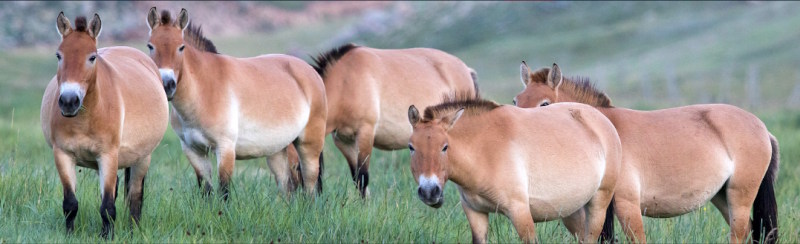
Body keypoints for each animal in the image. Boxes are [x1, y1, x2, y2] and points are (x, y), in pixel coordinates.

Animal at [40, 12, 169, 238]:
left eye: (92, 57)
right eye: (58, 56)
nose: (69, 101)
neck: (86, 117)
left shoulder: (108, 156)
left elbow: (108, 206)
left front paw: (107, 236)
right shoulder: (63, 155)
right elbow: (70, 204)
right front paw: (70, 235)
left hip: (142, 158)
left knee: (135, 196)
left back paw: (134, 230)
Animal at [145, 8, 326, 198]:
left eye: (181, 47)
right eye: (150, 46)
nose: (167, 84)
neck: (204, 90)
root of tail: (310, 71)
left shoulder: (225, 149)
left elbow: (224, 192)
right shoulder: (194, 151)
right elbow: (206, 190)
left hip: (309, 147)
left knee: (310, 186)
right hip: (277, 151)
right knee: (288, 188)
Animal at [310, 43, 476, 196]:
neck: (346, 81)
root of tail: (467, 70)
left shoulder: (365, 134)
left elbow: (363, 177)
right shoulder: (343, 141)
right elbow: (356, 178)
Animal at [410, 94, 620, 243]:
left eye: (444, 147)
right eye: (411, 147)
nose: (429, 191)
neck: (484, 149)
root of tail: (603, 120)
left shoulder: (520, 212)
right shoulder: (475, 213)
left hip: (598, 205)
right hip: (572, 211)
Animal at [516, 62, 780, 243]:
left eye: (544, 104)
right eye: (517, 101)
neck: (600, 130)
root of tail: (763, 129)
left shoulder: (626, 205)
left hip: (740, 196)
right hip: (722, 197)